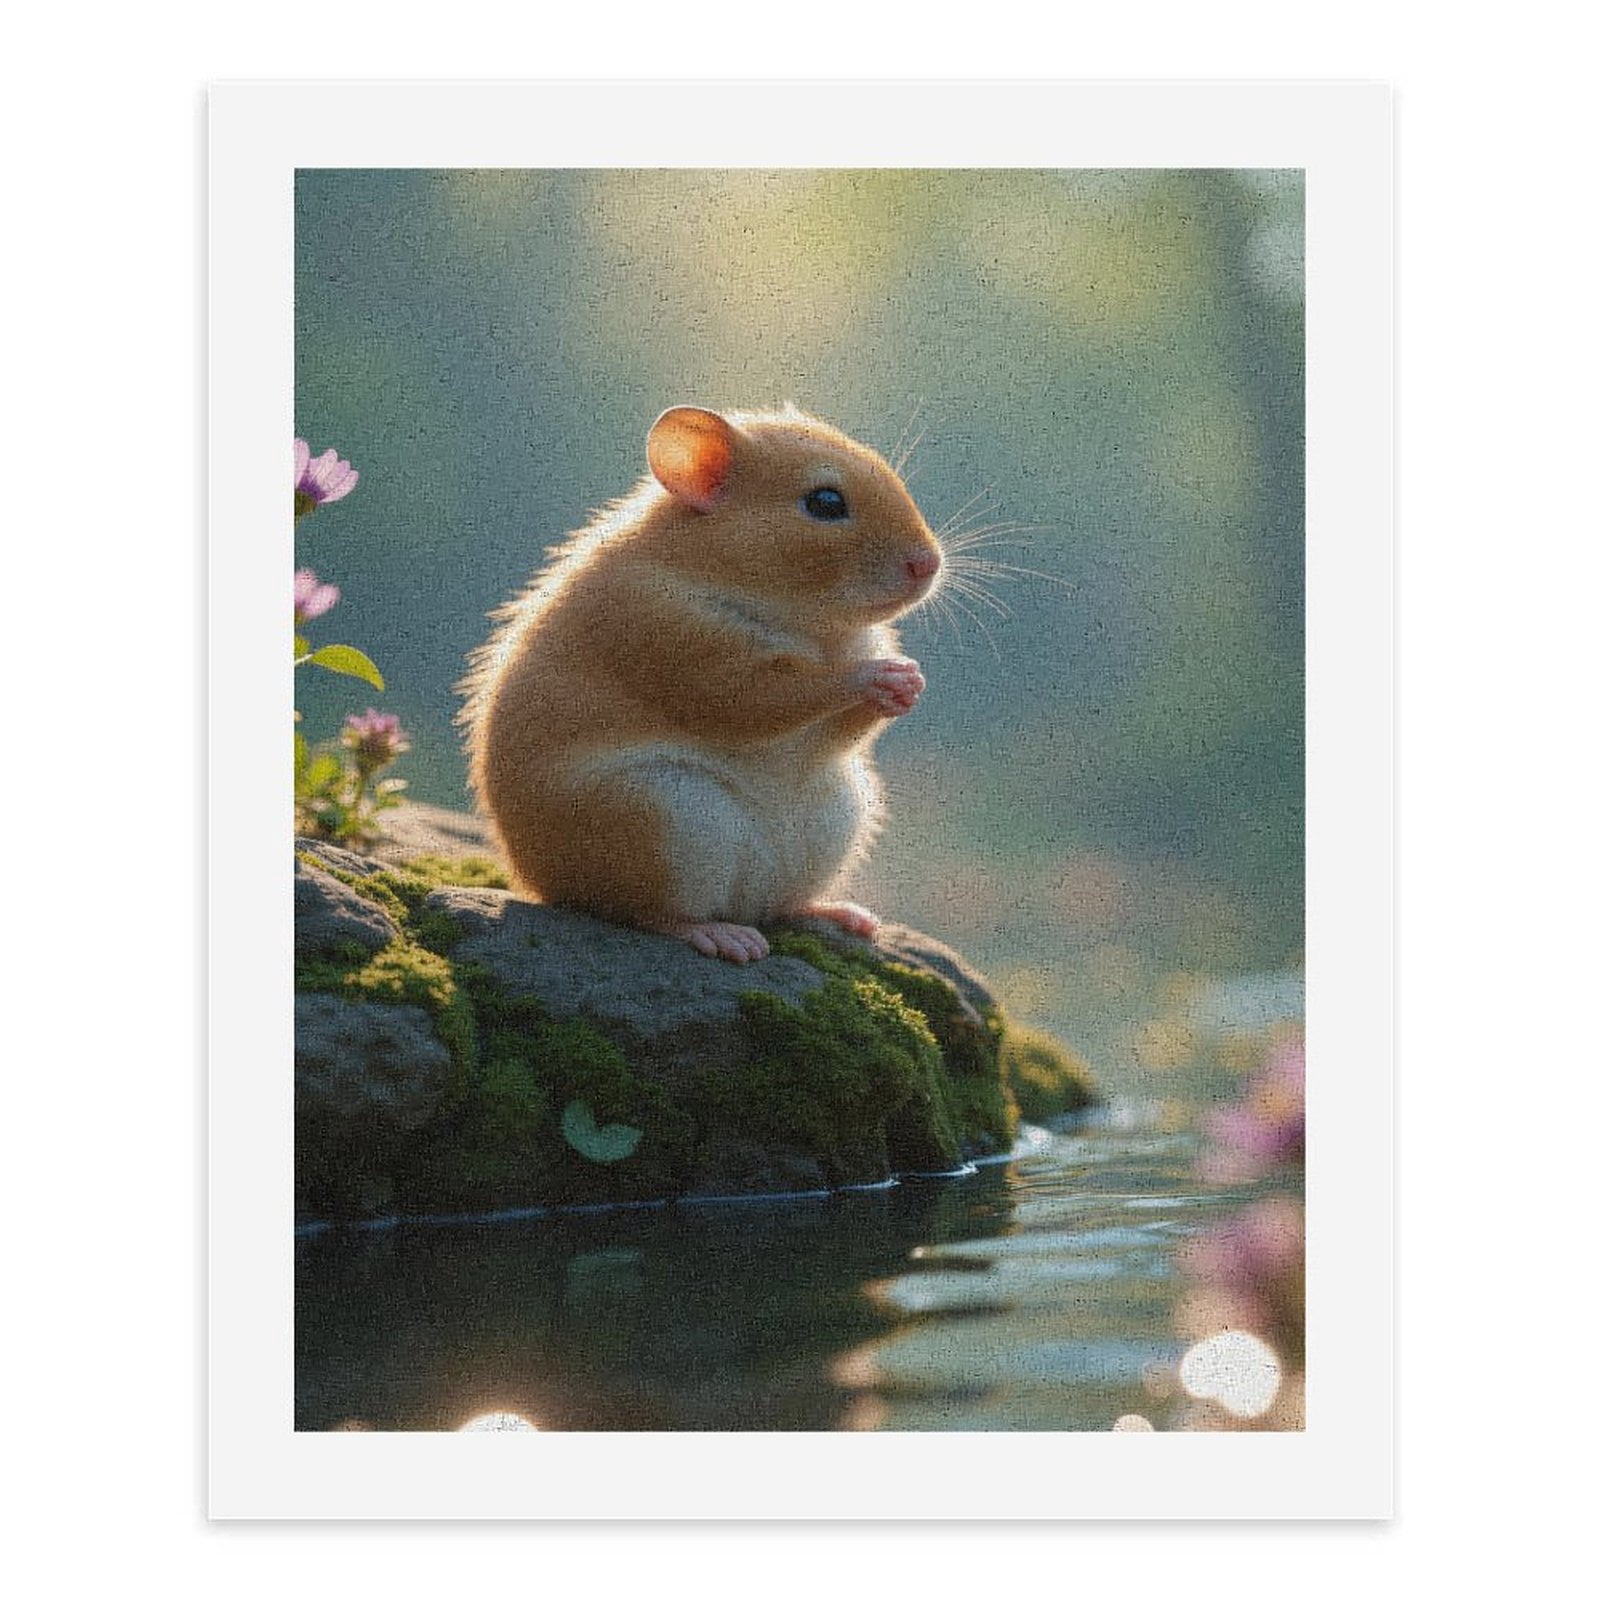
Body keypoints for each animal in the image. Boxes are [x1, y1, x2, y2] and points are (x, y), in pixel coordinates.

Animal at [459, 404, 943, 963]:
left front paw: (908, 683)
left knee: (779, 906)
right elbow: (768, 697)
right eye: (825, 503)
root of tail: (539, 886)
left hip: (835, 819)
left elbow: (839, 731)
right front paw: (876, 676)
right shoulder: (678, 642)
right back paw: (720, 935)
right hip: (662, 819)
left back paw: (839, 914)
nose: (929, 563)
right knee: (641, 912)